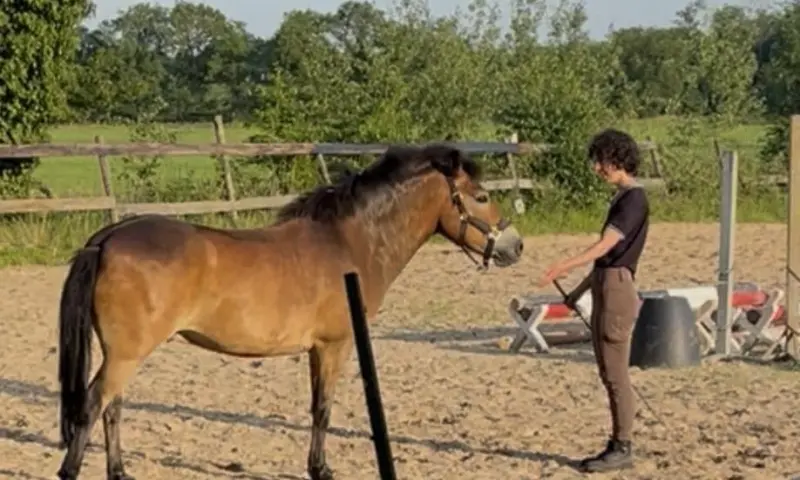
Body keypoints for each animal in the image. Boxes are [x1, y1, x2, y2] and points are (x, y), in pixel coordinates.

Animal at [55, 143, 525, 480]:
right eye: (481, 196)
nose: (515, 246)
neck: (348, 242)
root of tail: (109, 237)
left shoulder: (318, 348)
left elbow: (317, 405)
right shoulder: (336, 345)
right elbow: (324, 409)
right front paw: (321, 470)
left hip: (123, 355)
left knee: (111, 408)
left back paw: (120, 472)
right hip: (126, 354)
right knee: (92, 406)